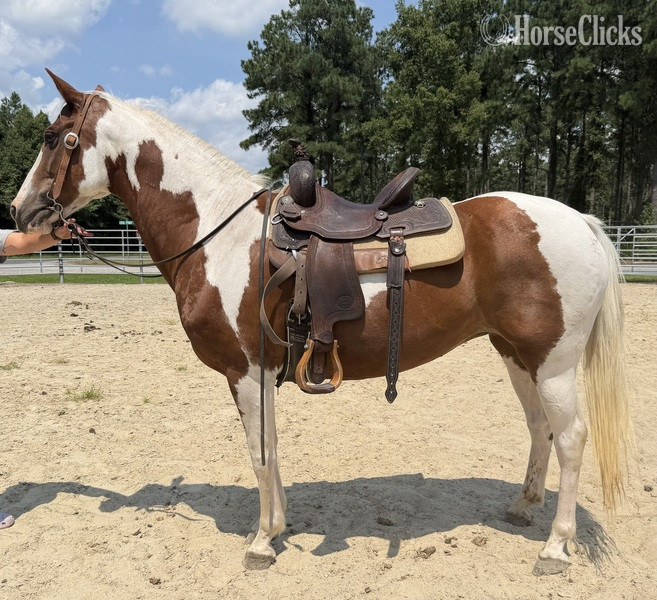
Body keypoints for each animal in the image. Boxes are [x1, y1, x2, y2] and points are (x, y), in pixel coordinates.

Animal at [10, 72, 632, 575]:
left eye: (52, 138)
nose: (19, 211)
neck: (216, 233)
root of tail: (579, 220)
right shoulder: (260, 376)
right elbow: (271, 450)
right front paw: (275, 526)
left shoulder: (246, 372)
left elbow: (259, 453)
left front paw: (262, 542)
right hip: (516, 354)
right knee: (539, 428)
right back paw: (523, 508)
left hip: (553, 363)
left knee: (571, 438)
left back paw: (555, 548)